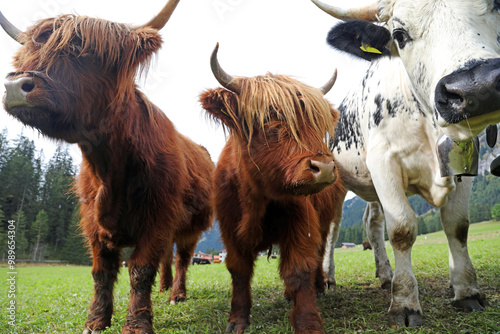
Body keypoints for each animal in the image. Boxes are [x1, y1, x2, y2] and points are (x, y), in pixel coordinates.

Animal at [310, 0, 494, 328]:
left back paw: (385, 274)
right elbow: (403, 230)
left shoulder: (464, 161)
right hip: (335, 182)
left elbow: (457, 225)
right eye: (399, 34)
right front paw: (405, 303)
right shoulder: (384, 163)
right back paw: (329, 278)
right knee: (332, 229)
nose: (477, 86)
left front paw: (466, 291)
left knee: (372, 224)